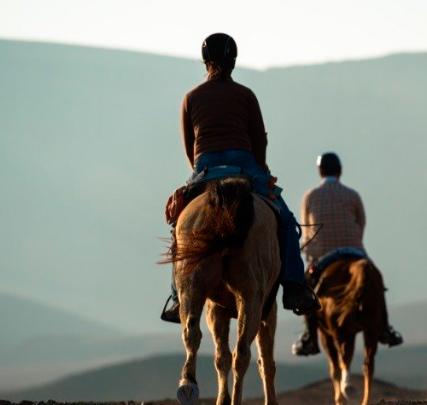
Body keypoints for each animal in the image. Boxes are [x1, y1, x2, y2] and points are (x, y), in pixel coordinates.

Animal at [169, 176, 282, 404]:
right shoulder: (268, 310)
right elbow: (265, 361)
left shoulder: (215, 309)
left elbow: (221, 358)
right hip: (251, 299)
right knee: (243, 353)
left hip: (192, 286)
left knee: (192, 333)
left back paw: (188, 386)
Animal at [314, 258, 388, 404]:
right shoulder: (353, 332)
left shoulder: (326, 334)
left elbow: (334, 368)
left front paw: (339, 399)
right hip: (370, 329)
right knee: (368, 365)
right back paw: (364, 400)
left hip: (339, 330)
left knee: (343, 359)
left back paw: (347, 388)